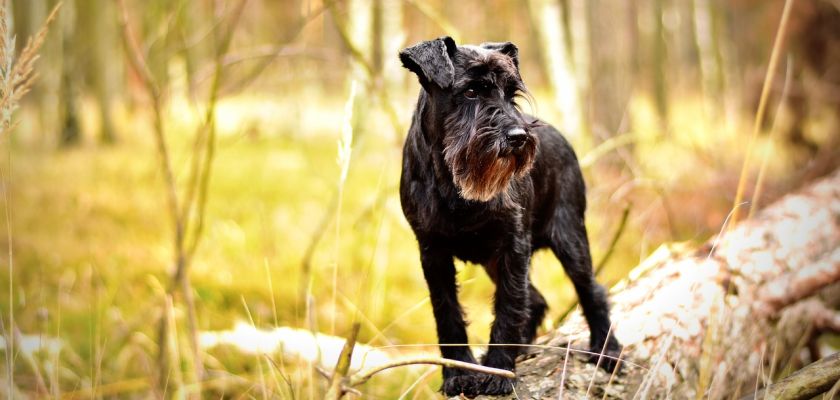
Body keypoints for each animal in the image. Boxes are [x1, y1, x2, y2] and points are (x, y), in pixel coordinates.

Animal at [398, 36, 620, 396]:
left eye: (511, 92)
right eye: (470, 91)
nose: (518, 137)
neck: (454, 185)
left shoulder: (513, 247)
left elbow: (508, 306)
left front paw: (498, 372)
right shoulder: (432, 253)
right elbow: (447, 313)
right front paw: (458, 373)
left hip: (570, 239)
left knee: (591, 290)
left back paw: (607, 350)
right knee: (538, 300)